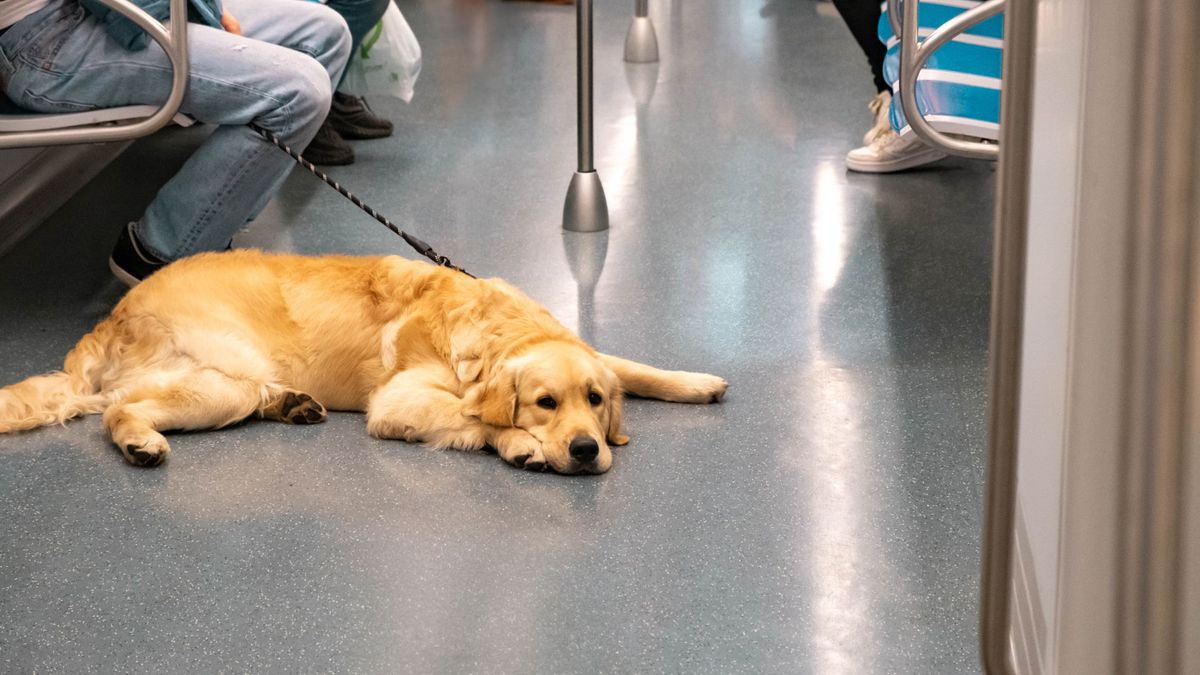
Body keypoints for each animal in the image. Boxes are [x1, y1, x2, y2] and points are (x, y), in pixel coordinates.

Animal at [0, 251, 720, 473]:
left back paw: (292, 403)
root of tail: (111, 318)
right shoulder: (397, 400)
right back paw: (140, 443)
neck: (493, 329)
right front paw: (520, 444)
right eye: (546, 403)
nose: (586, 449)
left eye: (594, 401)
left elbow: (630, 363)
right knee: (118, 410)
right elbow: (474, 417)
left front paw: (698, 380)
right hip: (222, 379)